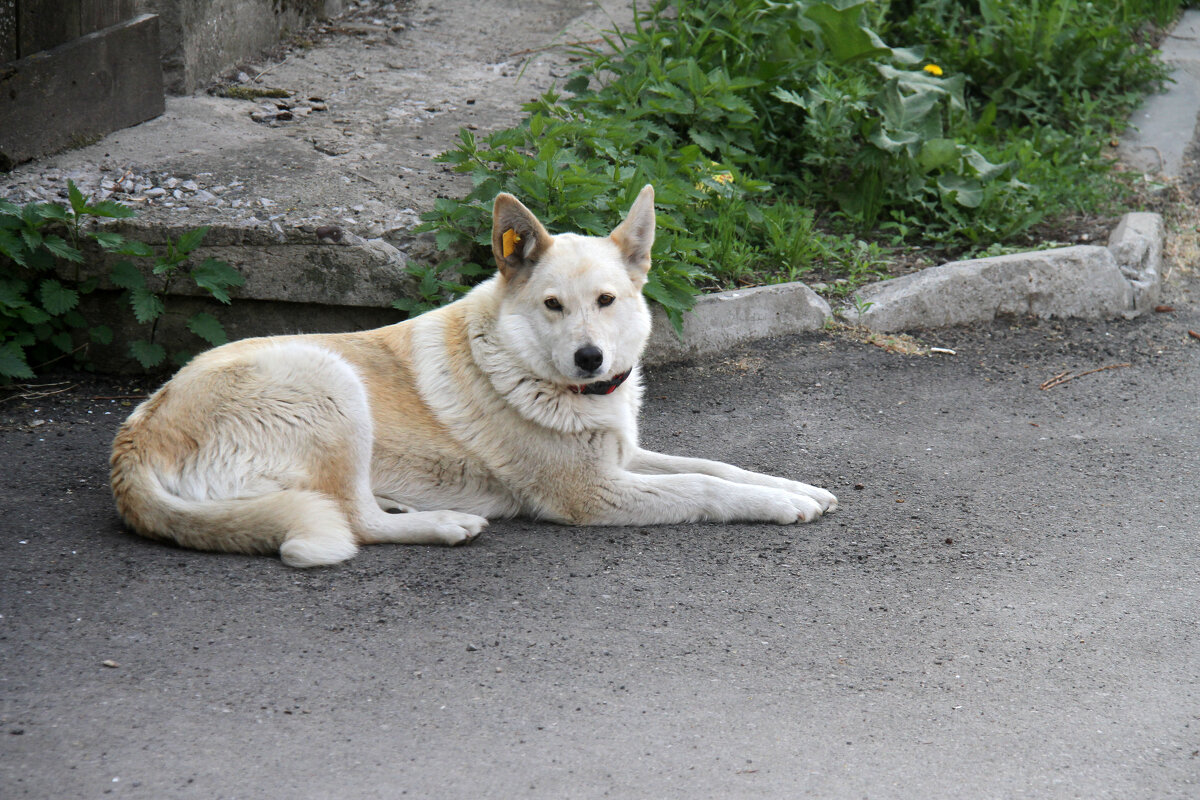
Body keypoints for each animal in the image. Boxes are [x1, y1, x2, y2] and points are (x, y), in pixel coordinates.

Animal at [112, 184, 835, 566]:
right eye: (552, 305)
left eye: (606, 301)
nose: (590, 359)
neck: (526, 369)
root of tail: (133, 442)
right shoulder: (595, 494)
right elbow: (704, 488)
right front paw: (780, 506)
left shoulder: (624, 456)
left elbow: (719, 466)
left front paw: (796, 486)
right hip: (330, 382)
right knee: (353, 522)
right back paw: (443, 524)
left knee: (353, 508)